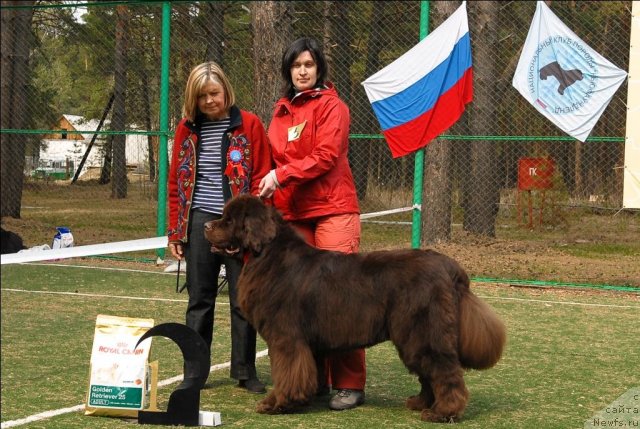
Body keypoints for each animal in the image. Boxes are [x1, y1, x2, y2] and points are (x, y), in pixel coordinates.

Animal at [205, 196, 504, 422]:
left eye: (229, 220)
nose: (206, 225)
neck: (267, 255)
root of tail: (449, 266)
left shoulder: (286, 337)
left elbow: (287, 372)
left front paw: (276, 404)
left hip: (422, 331)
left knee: (445, 370)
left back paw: (442, 412)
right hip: (414, 335)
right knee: (429, 372)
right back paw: (421, 403)